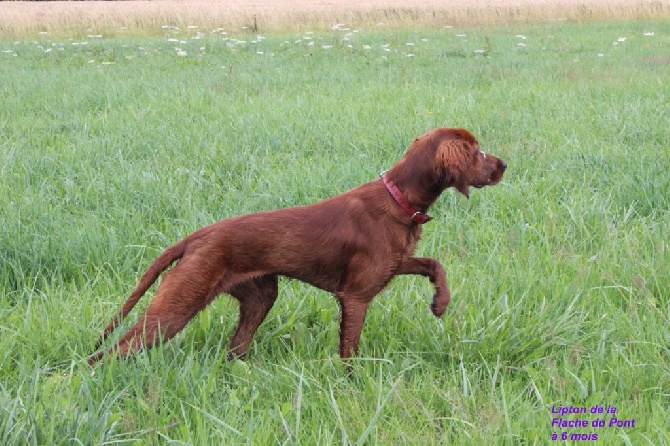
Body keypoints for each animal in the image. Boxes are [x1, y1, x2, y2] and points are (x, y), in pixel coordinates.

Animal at [90, 127, 510, 364]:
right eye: (477, 151)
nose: (504, 165)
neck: (398, 198)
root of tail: (199, 235)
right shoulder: (356, 296)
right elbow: (349, 353)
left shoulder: (394, 263)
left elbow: (434, 263)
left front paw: (440, 302)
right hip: (177, 307)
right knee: (114, 351)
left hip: (260, 297)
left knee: (235, 348)